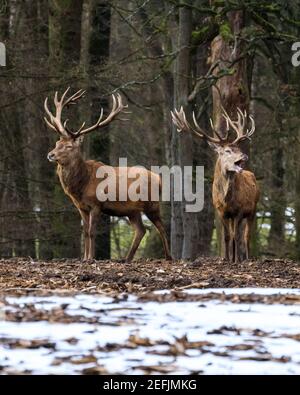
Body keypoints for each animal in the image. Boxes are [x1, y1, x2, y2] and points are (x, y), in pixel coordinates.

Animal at [44, 88, 171, 264]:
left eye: (69, 146)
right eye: (57, 143)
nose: (50, 154)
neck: (82, 185)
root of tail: (159, 179)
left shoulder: (96, 204)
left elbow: (92, 232)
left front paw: (90, 259)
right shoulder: (81, 207)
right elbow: (85, 232)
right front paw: (84, 258)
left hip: (151, 204)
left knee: (161, 227)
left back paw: (168, 257)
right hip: (132, 210)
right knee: (141, 230)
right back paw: (126, 259)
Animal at [172, 106, 258, 264]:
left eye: (238, 148)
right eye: (227, 150)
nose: (244, 156)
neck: (227, 200)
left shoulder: (239, 211)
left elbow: (236, 236)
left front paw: (236, 260)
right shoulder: (221, 211)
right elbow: (227, 236)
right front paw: (227, 259)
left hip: (253, 209)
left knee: (246, 235)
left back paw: (246, 258)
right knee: (237, 234)